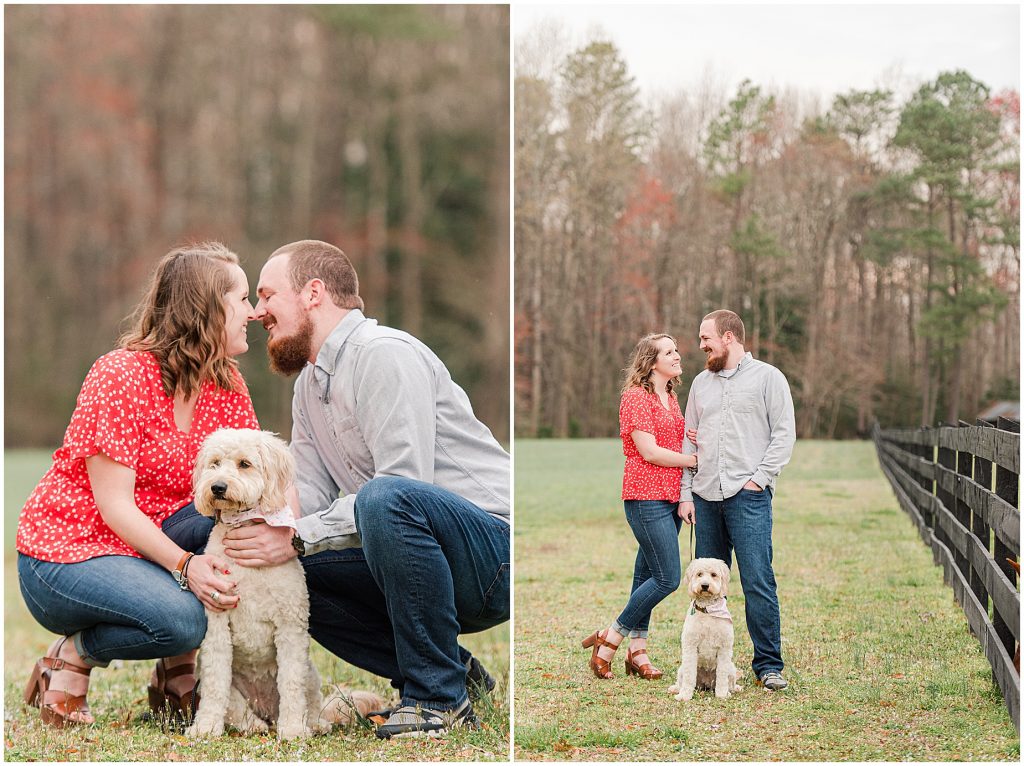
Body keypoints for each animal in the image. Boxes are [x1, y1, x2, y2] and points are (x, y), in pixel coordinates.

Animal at [188, 428, 385, 737]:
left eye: (244, 464)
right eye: (215, 463)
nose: (217, 487)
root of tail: (266, 709)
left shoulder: (291, 627)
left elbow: (291, 684)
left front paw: (293, 729)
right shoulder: (217, 627)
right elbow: (215, 684)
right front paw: (205, 727)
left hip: (311, 674)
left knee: (309, 701)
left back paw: (313, 723)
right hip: (233, 690)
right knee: (238, 709)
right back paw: (253, 725)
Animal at [667, 557, 741, 700]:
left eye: (714, 574)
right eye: (699, 574)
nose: (705, 585)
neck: (708, 610)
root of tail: (706, 682)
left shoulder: (724, 649)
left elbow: (722, 676)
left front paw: (722, 695)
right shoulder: (690, 647)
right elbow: (689, 676)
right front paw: (684, 695)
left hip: (731, 668)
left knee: (730, 682)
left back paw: (733, 689)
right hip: (682, 669)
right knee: (682, 680)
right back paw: (676, 688)